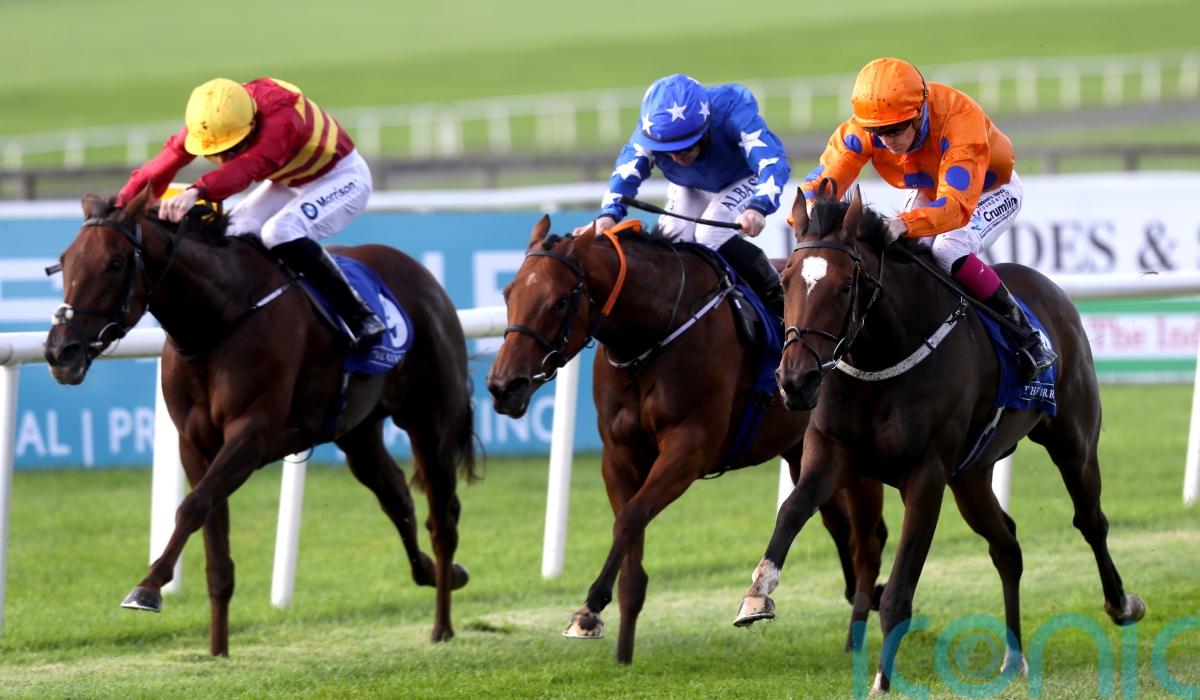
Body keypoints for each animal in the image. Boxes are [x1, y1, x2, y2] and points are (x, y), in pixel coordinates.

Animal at [43, 188, 478, 655]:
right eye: (65, 261)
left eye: (115, 263)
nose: (60, 352)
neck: (218, 319)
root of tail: (424, 276)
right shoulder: (194, 444)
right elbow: (213, 543)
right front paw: (217, 651)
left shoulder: (252, 435)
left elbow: (192, 506)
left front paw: (148, 587)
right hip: (358, 432)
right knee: (397, 498)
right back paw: (440, 573)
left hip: (431, 422)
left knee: (442, 520)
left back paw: (443, 624)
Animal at [486, 215, 888, 664]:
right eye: (508, 293)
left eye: (557, 302)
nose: (503, 386)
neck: (653, 335)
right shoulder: (619, 457)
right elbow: (631, 543)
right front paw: (622, 654)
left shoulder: (688, 449)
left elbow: (631, 518)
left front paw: (588, 611)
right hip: (802, 451)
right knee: (836, 524)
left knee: (868, 538)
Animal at [733, 187, 1145, 692]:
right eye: (786, 280)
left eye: (846, 286)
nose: (795, 381)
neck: (881, 359)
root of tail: (1051, 293)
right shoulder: (832, 453)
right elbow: (791, 512)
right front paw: (757, 595)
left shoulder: (926, 475)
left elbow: (900, 589)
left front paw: (882, 681)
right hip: (971, 477)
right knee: (1007, 546)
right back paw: (1013, 656)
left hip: (1073, 442)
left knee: (1091, 521)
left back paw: (1122, 604)